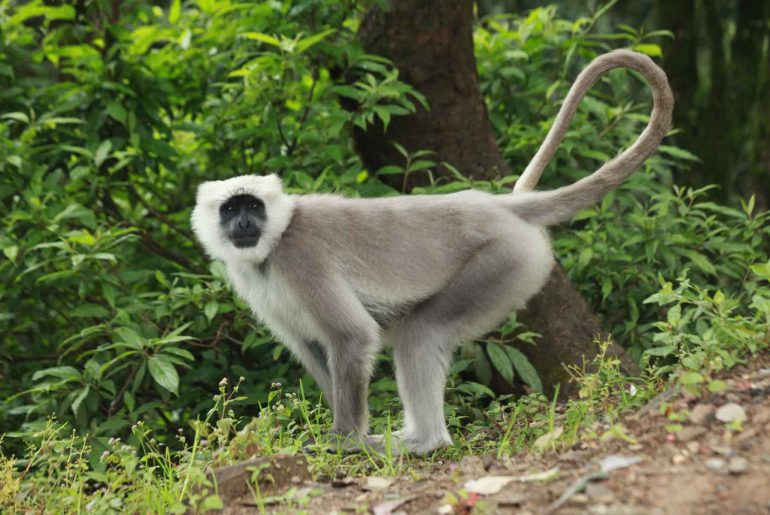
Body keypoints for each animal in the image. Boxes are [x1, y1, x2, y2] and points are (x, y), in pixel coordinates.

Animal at [192, 50, 672, 454]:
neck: (276, 239)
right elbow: (312, 349)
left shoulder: (300, 257)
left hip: (505, 261)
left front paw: (345, 440)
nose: (243, 224)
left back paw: (423, 443)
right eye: (231, 208)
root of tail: (494, 206)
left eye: (253, 206)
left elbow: (352, 337)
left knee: (419, 333)